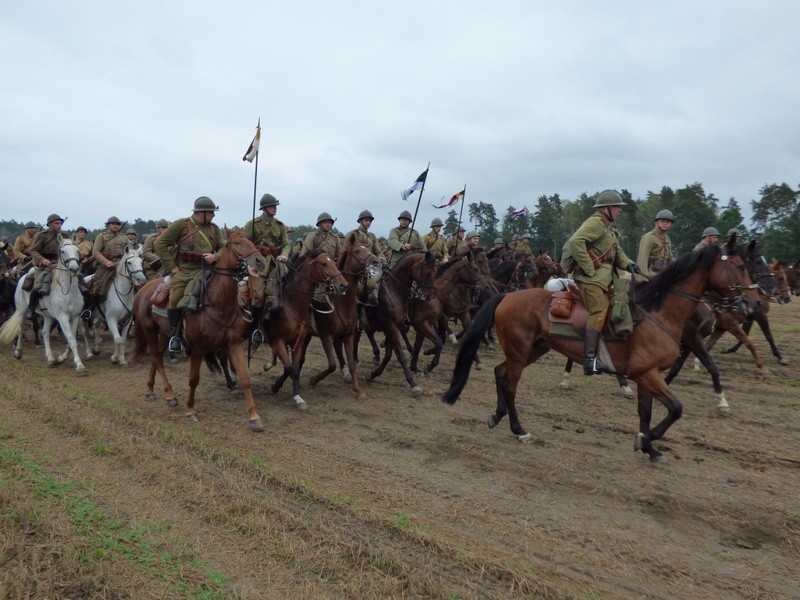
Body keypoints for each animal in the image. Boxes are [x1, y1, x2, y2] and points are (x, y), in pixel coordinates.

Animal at [0, 236, 87, 372]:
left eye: (77, 251)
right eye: (63, 251)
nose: (74, 268)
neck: (68, 290)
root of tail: (22, 276)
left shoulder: (75, 316)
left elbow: (71, 340)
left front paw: (61, 358)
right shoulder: (62, 317)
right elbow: (71, 340)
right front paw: (79, 365)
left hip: (47, 316)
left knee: (45, 333)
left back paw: (50, 358)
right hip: (22, 311)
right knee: (20, 329)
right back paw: (18, 352)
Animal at [128, 230, 266, 432]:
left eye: (251, 241)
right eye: (237, 243)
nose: (260, 261)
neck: (218, 303)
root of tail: (142, 289)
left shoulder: (233, 344)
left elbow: (245, 377)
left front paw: (254, 416)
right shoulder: (198, 348)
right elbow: (194, 379)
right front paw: (190, 410)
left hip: (164, 334)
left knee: (156, 358)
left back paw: (151, 390)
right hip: (149, 330)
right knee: (158, 360)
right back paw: (170, 394)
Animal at [304, 237, 382, 400]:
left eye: (368, 248)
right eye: (357, 251)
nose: (376, 262)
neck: (341, 303)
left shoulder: (349, 335)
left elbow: (351, 362)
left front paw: (358, 390)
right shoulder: (325, 336)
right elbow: (332, 364)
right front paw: (314, 379)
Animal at [444, 244, 752, 464]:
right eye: (739, 266)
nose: (748, 303)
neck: (657, 313)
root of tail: (506, 296)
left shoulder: (646, 375)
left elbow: (646, 412)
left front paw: (650, 448)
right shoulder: (647, 374)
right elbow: (675, 409)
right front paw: (646, 441)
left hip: (534, 349)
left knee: (500, 373)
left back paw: (497, 417)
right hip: (520, 352)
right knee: (510, 384)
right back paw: (519, 429)